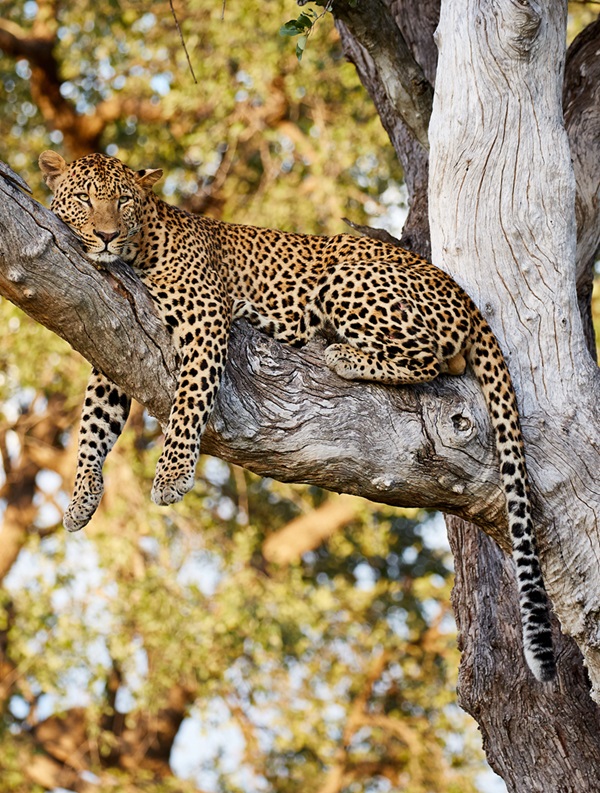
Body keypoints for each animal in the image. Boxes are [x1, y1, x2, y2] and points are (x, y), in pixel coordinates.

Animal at [37, 148, 556, 680]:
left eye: (123, 200)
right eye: (84, 199)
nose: (105, 235)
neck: (140, 247)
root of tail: (464, 295)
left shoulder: (204, 318)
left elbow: (189, 401)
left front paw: (172, 477)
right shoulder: (114, 338)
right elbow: (93, 425)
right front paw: (80, 500)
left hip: (346, 278)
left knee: (431, 358)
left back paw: (337, 352)